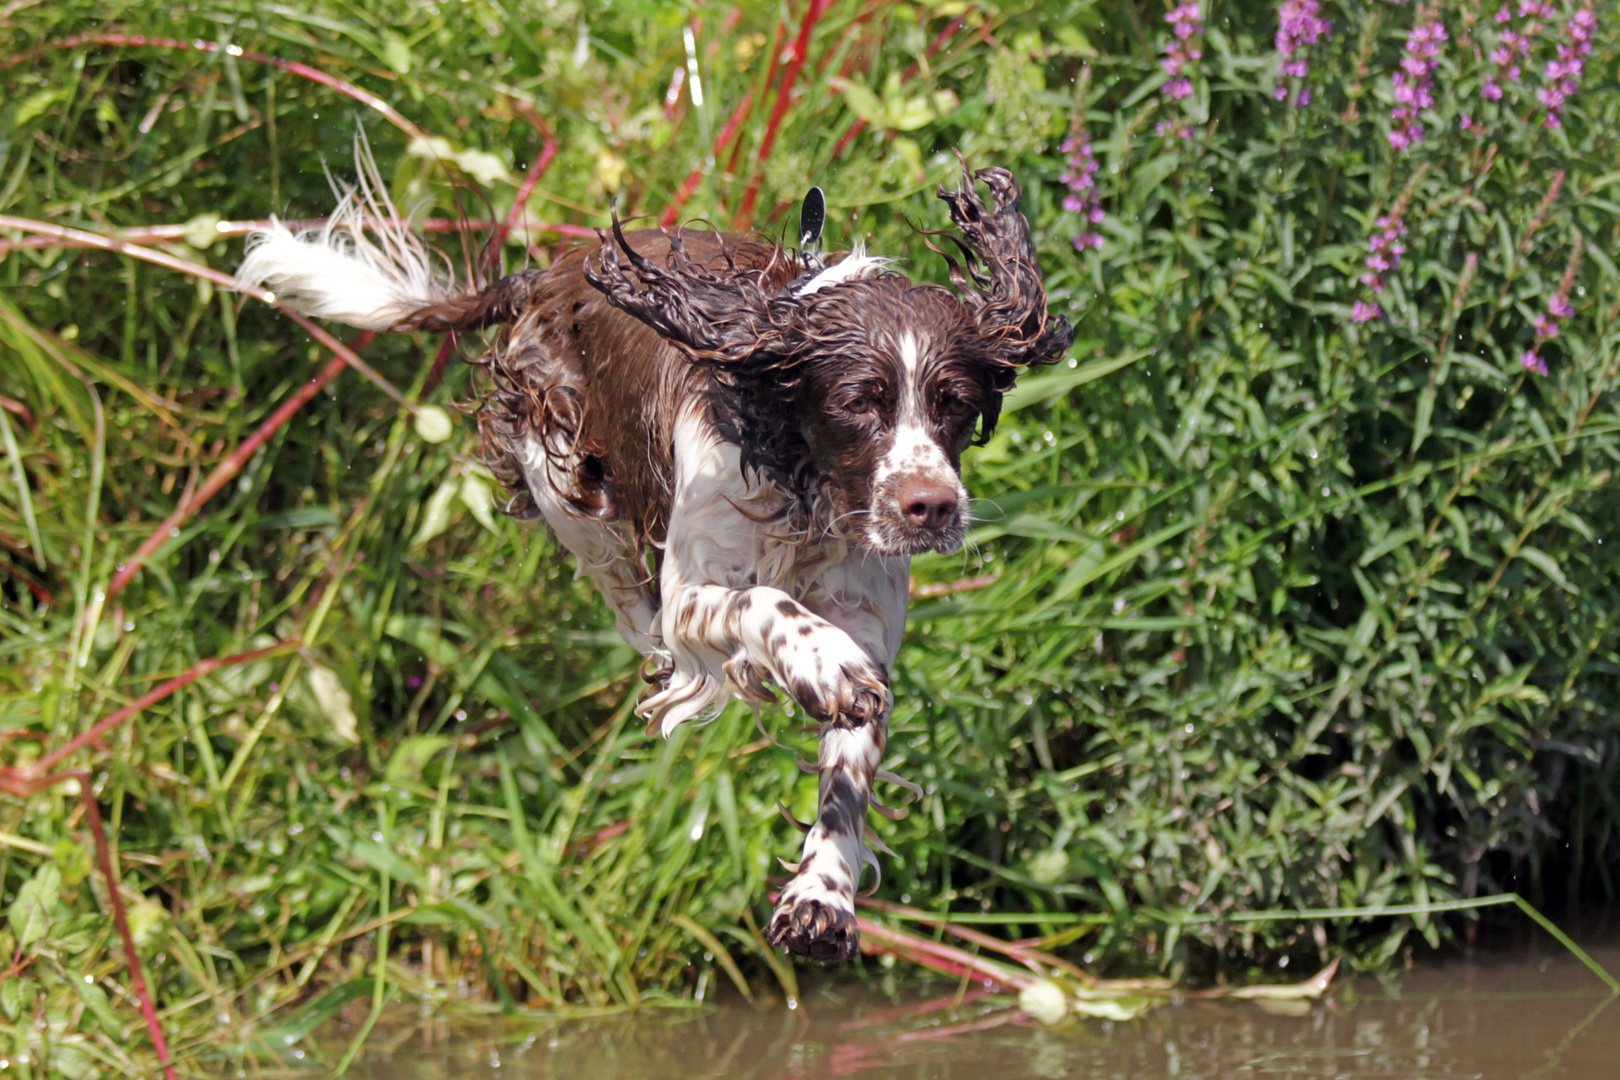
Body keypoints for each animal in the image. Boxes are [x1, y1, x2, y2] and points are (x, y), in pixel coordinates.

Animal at [236, 158, 1075, 965]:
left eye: (953, 403)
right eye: (857, 403)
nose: (931, 507)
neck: (799, 480)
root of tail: (544, 278)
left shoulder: (867, 617)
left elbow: (847, 771)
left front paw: (821, 897)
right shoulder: (696, 589)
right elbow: (760, 606)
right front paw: (819, 664)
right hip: (569, 489)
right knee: (626, 592)